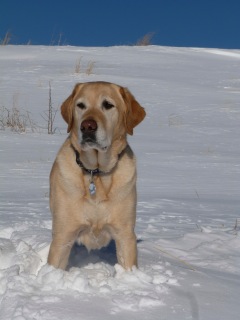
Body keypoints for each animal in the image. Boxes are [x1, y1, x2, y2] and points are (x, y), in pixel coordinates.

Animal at [46, 82, 144, 270]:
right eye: (81, 105)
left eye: (108, 105)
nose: (87, 126)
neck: (96, 173)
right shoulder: (63, 236)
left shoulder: (125, 236)